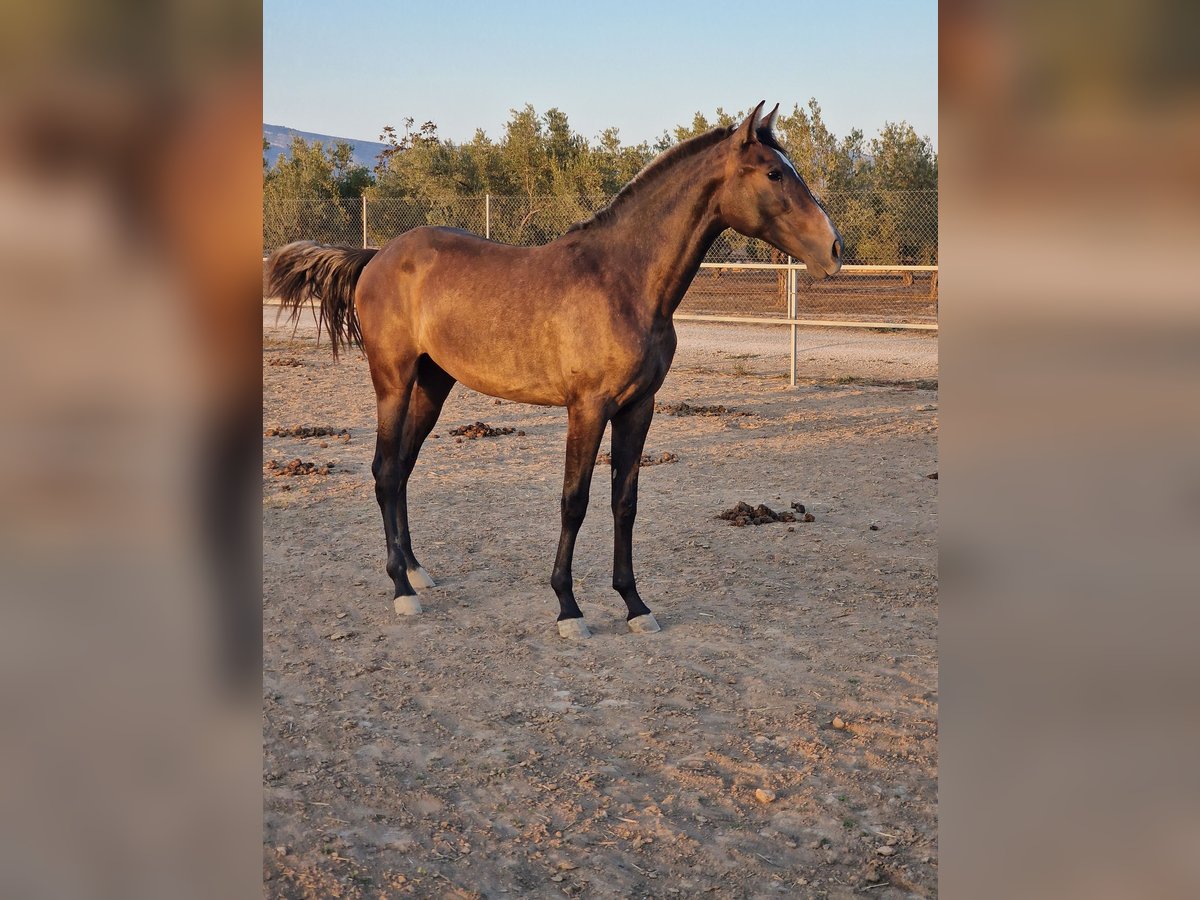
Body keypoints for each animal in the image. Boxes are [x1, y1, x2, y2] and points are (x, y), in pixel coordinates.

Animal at [270, 102, 844, 643]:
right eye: (773, 172)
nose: (834, 249)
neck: (625, 282)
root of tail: (377, 256)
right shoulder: (586, 409)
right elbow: (575, 502)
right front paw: (569, 608)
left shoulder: (638, 409)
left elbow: (624, 503)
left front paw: (635, 605)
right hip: (393, 381)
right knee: (387, 471)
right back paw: (402, 590)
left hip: (434, 383)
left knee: (404, 468)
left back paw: (416, 571)